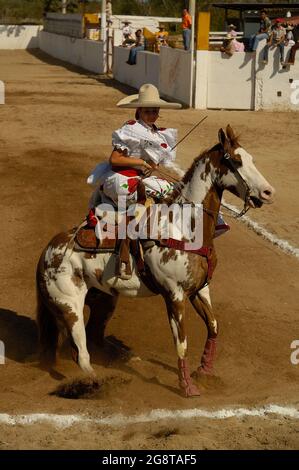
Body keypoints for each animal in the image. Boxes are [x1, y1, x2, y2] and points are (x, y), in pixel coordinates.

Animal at [36, 125, 276, 396]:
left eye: (251, 158)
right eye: (236, 160)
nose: (268, 192)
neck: (183, 227)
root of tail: (49, 250)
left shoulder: (200, 289)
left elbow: (214, 326)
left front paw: (204, 372)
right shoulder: (174, 295)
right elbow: (181, 343)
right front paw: (187, 387)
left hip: (104, 299)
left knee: (95, 335)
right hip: (69, 305)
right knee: (81, 352)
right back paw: (97, 383)